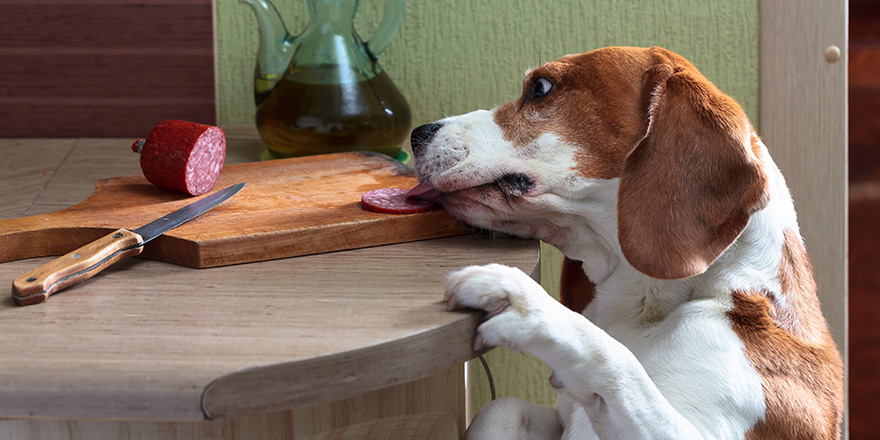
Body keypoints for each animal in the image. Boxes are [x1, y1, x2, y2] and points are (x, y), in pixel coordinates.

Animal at [410, 46, 844, 438]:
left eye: (540, 87)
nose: (417, 134)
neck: (643, 311)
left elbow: (616, 360)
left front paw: (525, 303)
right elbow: (502, 408)